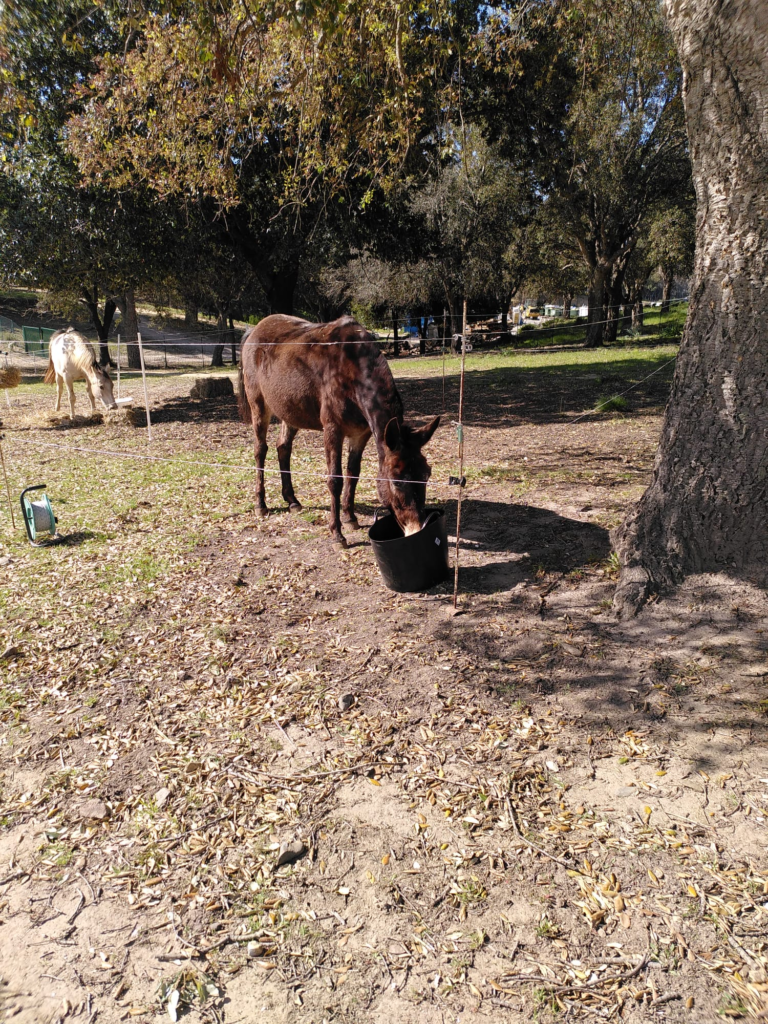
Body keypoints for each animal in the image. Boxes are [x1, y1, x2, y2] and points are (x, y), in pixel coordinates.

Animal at [238, 314, 440, 546]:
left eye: (426, 474)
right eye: (397, 481)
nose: (416, 528)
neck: (352, 368)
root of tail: (255, 330)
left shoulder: (360, 434)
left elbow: (353, 474)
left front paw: (350, 517)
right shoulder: (333, 430)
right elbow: (335, 479)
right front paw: (337, 533)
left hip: (289, 411)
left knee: (283, 448)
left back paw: (292, 500)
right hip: (259, 406)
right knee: (260, 450)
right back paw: (260, 505)